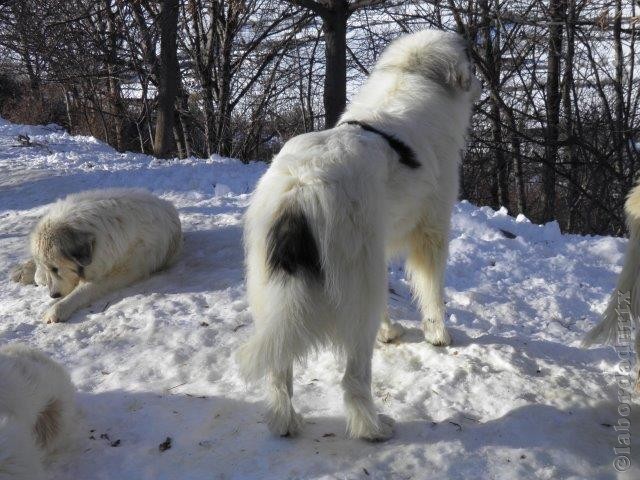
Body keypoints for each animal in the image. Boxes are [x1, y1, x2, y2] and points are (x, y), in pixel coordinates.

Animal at [11, 188, 182, 322]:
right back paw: (22, 272)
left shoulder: (120, 272)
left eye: (55, 268)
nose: (53, 295)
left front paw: (58, 308)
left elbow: (84, 290)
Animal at [239, 29, 480, 442]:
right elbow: (433, 290)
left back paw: (285, 421)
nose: (481, 85)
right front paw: (438, 335)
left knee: (279, 367)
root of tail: (301, 188)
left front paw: (392, 332)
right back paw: (374, 427)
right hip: (356, 285)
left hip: (275, 290)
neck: (411, 75)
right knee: (353, 380)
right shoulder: (431, 232)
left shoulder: (378, 248)